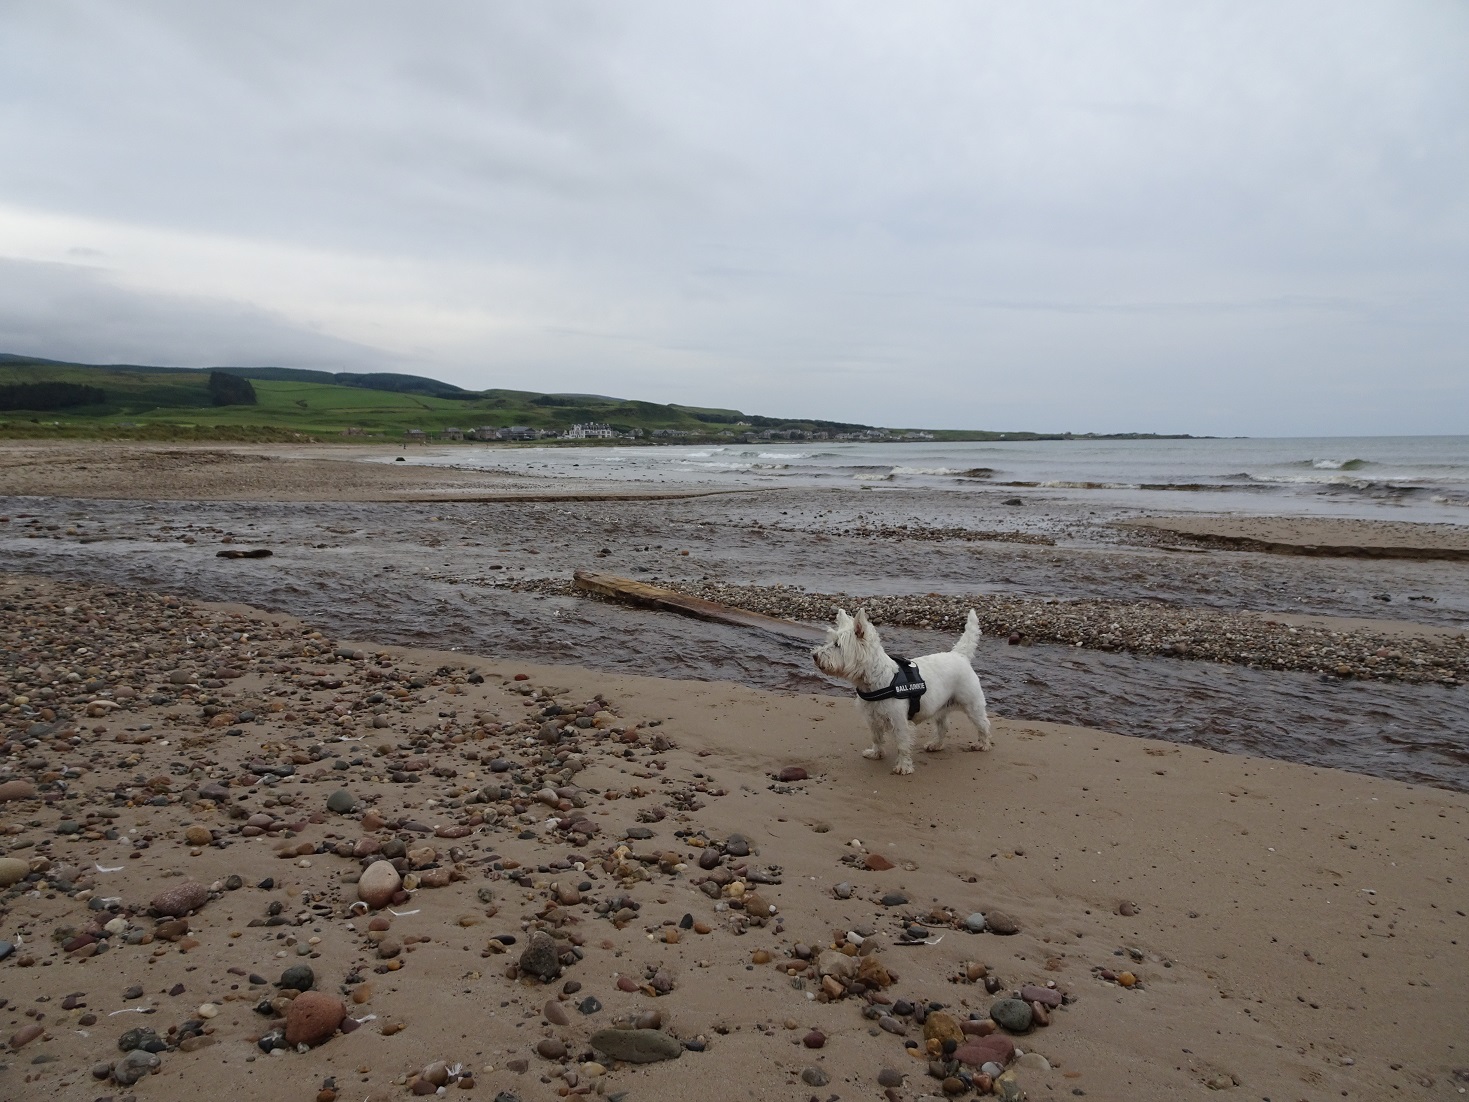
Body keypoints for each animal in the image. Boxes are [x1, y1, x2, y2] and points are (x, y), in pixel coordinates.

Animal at [810, 614, 993, 775]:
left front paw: (903, 767)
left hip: (972, 704)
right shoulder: (872, 717)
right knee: (943, 726)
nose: (814, 655)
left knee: (983, 724)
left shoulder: (899, 721)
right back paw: (935, 745)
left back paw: (982, 745)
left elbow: (902, 744)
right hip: (941, 706)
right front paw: (876, 753)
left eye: (837, 644)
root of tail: (959, 655)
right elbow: (876, 737)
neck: (877, 680)